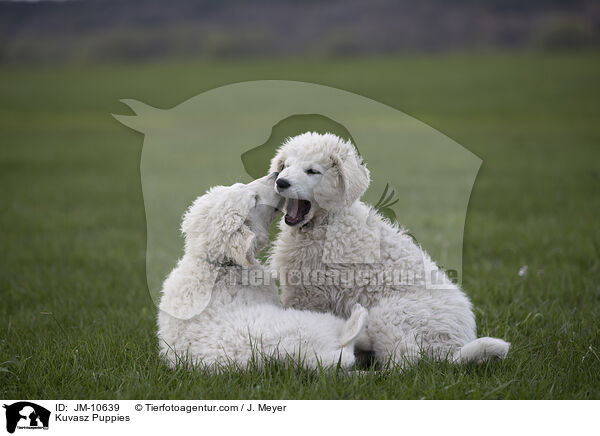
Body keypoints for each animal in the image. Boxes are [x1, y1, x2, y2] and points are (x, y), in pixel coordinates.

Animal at [157, 174, 368, 372]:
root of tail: (307, 360)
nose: (275, 175)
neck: (218, 264)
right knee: (345, 347)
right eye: (255, 199)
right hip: (310, 323)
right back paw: (359, 315)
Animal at [270, 131, 508, 366]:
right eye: (285, 166)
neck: (326, 222)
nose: (281, 182)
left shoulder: (311, 295)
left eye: (312, 171)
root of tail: (451, 351)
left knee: (403, 363)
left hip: (390, 315)